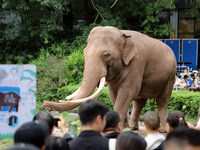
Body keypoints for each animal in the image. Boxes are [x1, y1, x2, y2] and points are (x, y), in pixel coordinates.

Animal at [44, 25, 177, 131]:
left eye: (106, 55)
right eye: (84, 53)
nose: (44, 103)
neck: (122, 33)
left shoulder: (137, 63)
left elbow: (128, 92)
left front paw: (116, 128)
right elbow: (114, 93)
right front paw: (123, 128)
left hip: (170, 76)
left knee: (162, 100)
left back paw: (162, 130)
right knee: (140, 101)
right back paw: (133, 128)